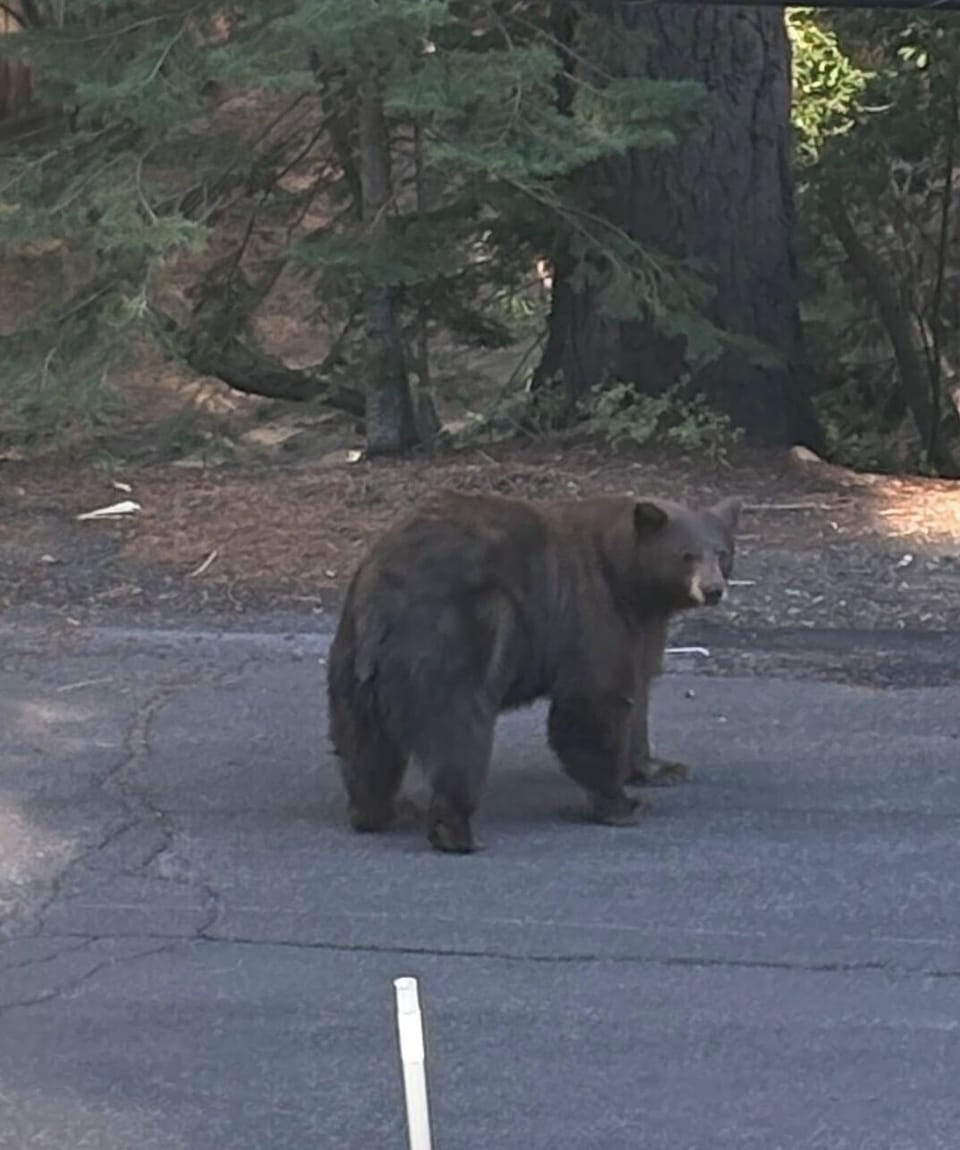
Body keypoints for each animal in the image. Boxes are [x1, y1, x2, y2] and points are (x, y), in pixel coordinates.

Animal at [326, 489, 741, 853]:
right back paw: (456, 831)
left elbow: (639, 686)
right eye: (686, 555)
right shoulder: (591, 609)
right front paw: (623, 803)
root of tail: (383, 603)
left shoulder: (643, 625)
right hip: (455, 639)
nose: (713, 589)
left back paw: (380, 811)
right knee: (458, 735)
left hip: (352, 664)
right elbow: (593, 702)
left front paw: (658, 767)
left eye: (721, 552)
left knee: (364, 746)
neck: (627, 578)